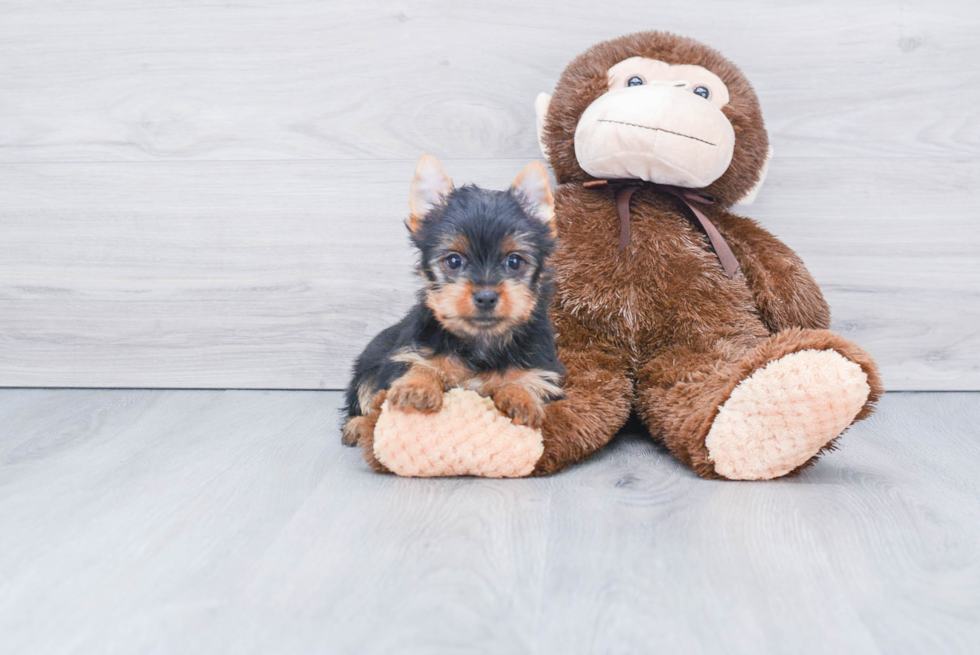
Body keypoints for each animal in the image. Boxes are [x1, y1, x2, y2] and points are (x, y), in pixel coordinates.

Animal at [342, 155, 560, 472]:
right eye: (454, 261)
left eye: (515, 261)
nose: (485, 296)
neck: (480, 342)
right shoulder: (407, 352)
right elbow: (419, 365)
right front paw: (417, 387)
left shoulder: (546, 373)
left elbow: (526, 381)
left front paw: (522, 398)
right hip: (369, 362)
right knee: (363, 394)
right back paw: (357, 426)